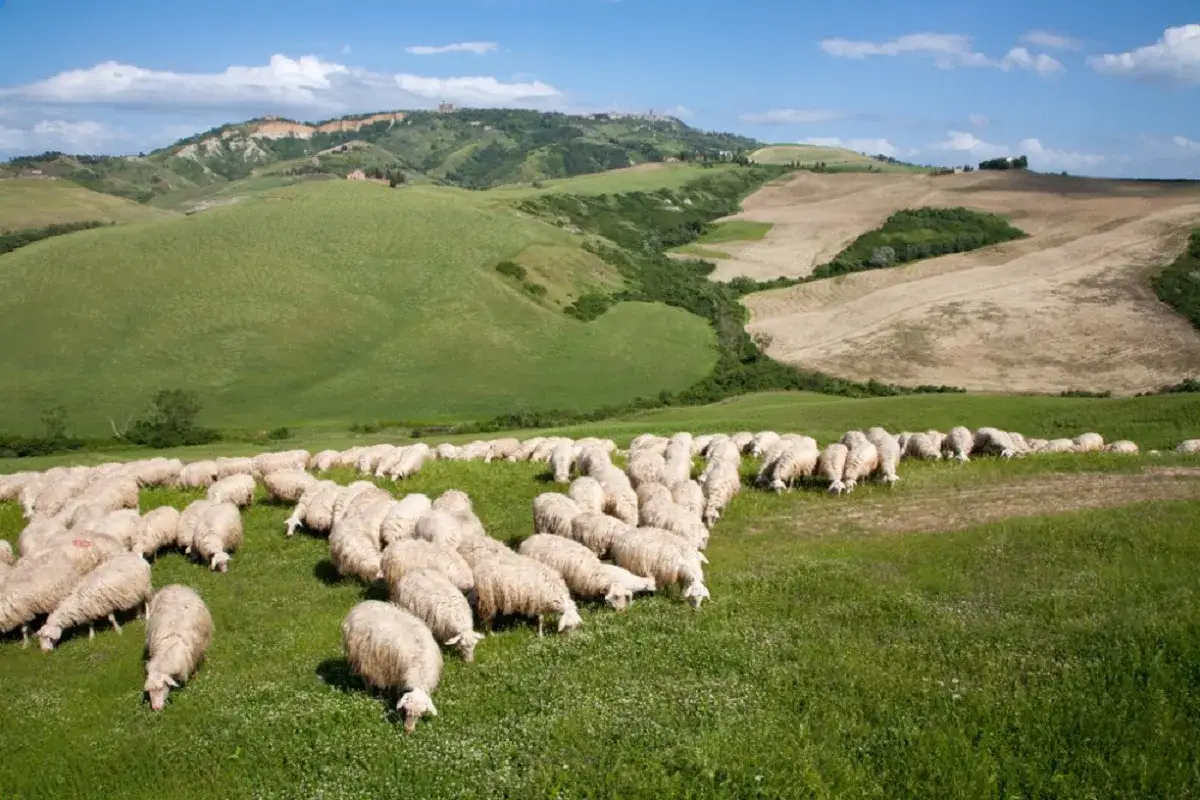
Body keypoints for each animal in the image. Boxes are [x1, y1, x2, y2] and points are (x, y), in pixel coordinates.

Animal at [341, 600, 442, 733]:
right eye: (406, 710)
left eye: (420, 714)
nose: (408, 730)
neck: (420, 668)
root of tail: (361, 605)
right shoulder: (399, 673)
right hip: (362, 656)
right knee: (366, 677)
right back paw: (371, 692)